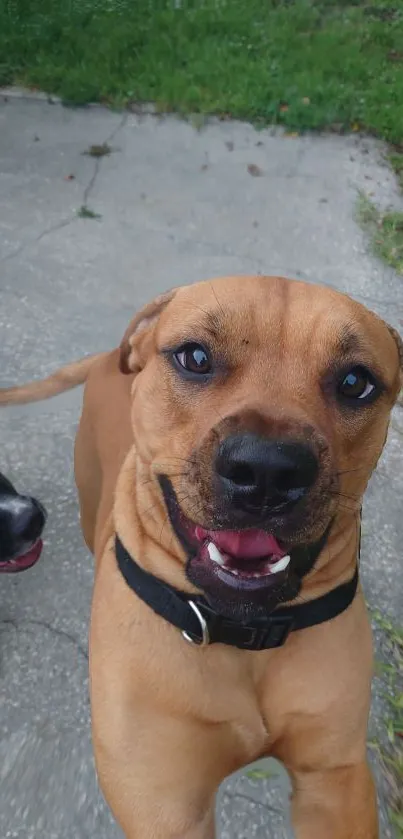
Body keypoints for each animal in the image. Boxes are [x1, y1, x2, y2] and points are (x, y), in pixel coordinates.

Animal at [1, 276, 402, 839]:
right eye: (195, 357)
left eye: (354, 382)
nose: (267, 470)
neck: (242, 634)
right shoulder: (166, 805)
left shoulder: (334, 779)